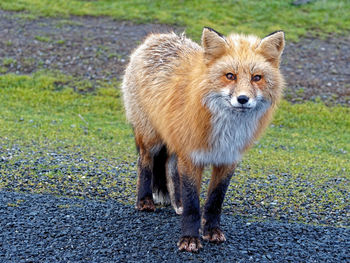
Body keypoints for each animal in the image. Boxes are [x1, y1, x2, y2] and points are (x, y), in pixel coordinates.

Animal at [121, 27, 286, 254]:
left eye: (257, 78)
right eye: (230, 76)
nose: (243, 99)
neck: (226, 130)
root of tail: (157, 36)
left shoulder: (227, 159)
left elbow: (214, 201)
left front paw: (212, 232)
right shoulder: (191, 155)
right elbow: (193, 204)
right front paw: (190, 239)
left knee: (170, 167)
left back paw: (177, 202)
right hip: (151, 137)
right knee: (145, 163)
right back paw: (145, 200)